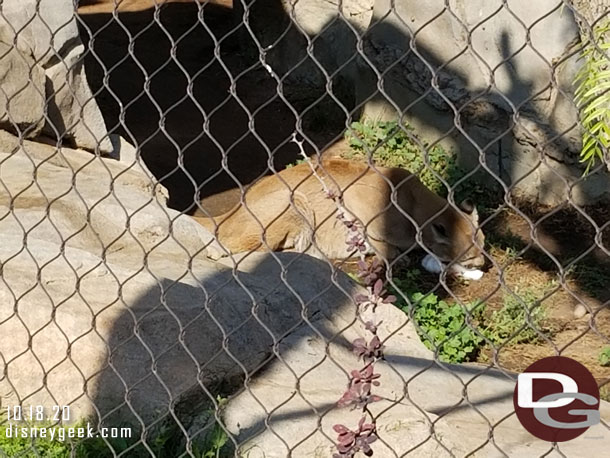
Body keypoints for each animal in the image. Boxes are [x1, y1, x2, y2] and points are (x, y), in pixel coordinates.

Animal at [192, 157, 482, 266]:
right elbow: (386, 246)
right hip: (294, 199)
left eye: (483, 244)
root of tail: (230, 211)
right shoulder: (357, 197)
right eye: (470, 254)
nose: (482, 263)